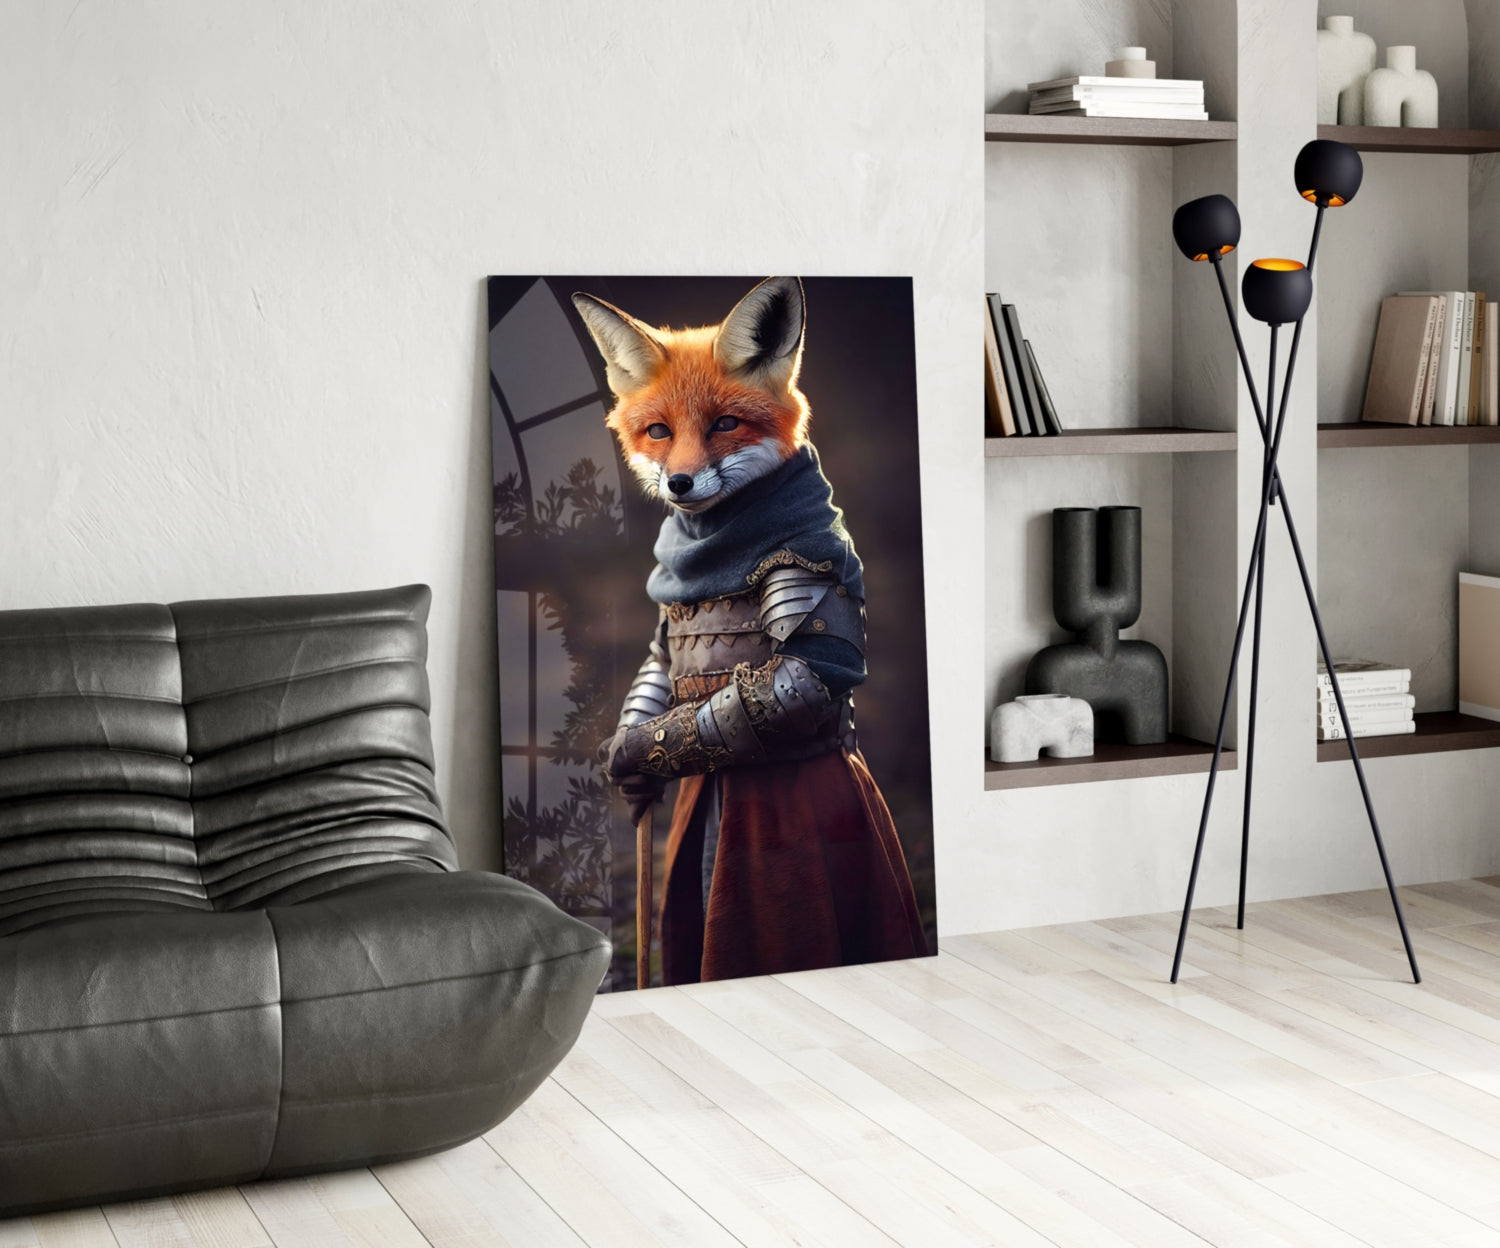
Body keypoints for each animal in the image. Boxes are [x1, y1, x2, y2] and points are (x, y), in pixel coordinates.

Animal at [572, 276, 926, 986]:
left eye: (724, 424)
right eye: (659, 432)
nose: (680, 483)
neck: (714, 544)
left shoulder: (804, 572)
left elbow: (800, 676)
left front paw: (628, 753)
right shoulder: (664, 629)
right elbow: (657, 666)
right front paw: (631, 769)